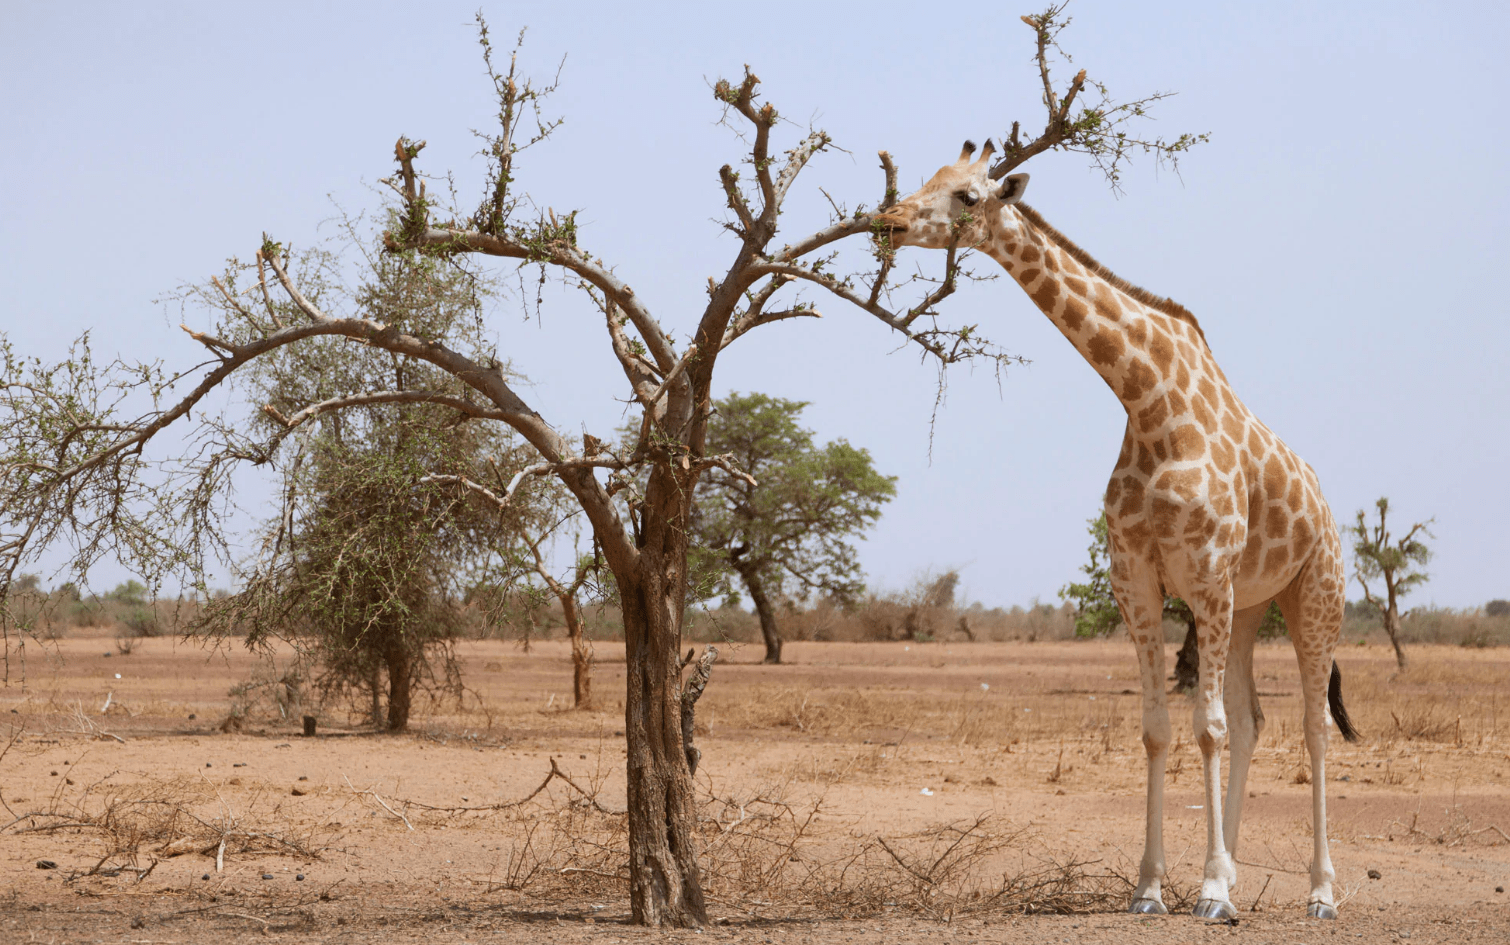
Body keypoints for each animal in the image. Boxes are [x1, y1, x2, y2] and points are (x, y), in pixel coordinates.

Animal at [875, 141, 1359, 917]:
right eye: (928, 179)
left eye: (968, 196)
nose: (887, 222)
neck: (1148, 401)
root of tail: (1324, 502)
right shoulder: (1137, 579)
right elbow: (1161, 729)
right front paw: (1154, 887)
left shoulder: (1205, 575)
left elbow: (1206, 728)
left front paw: (1211, 893)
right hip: (1251, 605)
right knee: (1254, 718)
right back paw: (1244, 873)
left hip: (1314, 594)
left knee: (1313, 727)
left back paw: (1320, 893)